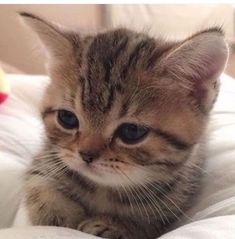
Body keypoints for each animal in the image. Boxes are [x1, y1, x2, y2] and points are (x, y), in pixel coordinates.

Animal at [19, 12, 229, 239]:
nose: (86, 154)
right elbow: (39, 187)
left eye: (131, 132)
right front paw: (61, 217)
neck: (103, 190)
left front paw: (114, 225)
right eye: (67, 118)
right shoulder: (46, 158)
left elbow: (145, 225)